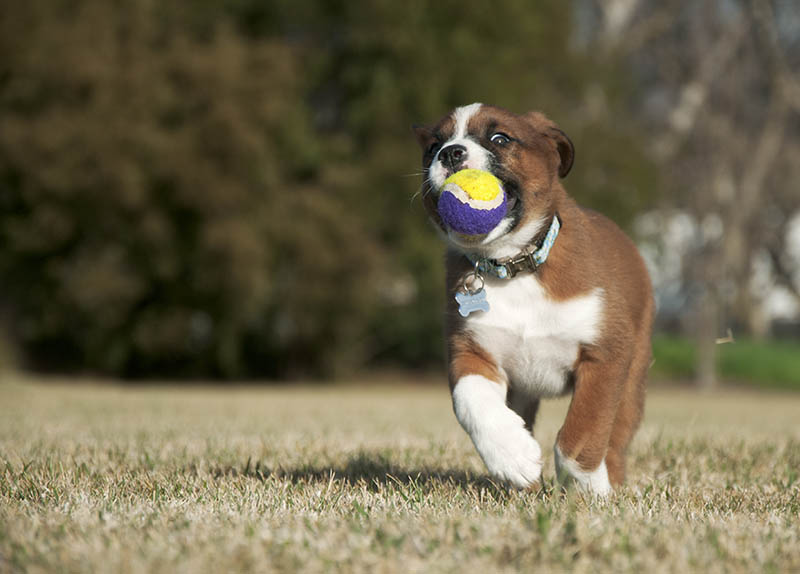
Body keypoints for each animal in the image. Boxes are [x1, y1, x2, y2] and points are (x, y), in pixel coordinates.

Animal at [416, 102, 652, 496]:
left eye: (500, 138)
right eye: (433, 146)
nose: (450, 153)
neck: (513, 266)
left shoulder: (605, 355)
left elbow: (583, 430)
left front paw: (586, 487)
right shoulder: (471, 352)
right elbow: (470, 401)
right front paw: (513, 456)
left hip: (633, 377)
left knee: (617, 437)